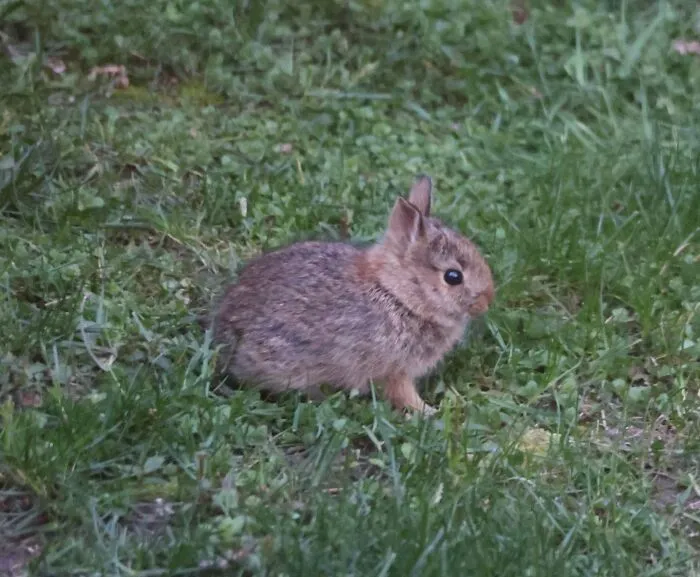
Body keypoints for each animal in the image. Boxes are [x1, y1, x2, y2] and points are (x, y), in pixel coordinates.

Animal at [211, 175, 494, 415]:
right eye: (453, 277)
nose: (487, 301)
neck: (398, 296)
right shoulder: (394, 370)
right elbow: (403, 394)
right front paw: (429, 412)